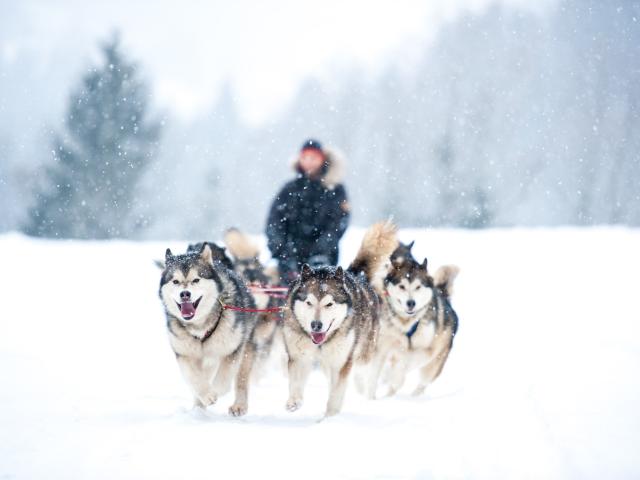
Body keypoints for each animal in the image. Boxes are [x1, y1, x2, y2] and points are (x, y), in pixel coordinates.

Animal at [159, 244, 258, 416]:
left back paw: (239, 405)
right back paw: (198, 408)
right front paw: (206, 396)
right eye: (175, 281)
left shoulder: (232, 350)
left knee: (241, 378)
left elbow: (224, 379)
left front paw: (215, 391)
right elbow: (194, 378)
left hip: (245, 348)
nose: (185, 294)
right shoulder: (184, 354)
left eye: (196, 279)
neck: (200, 326)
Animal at [282, 221, 398, 416]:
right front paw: (294, 401)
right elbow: (296, 382)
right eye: (309, 302)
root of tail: (353, 274)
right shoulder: (299, 356)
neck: (320, 343)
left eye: (329, 304)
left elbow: (336, 394)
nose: (316, 325)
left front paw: (330, 416)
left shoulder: (341, 362)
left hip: (362, 354)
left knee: (363, 373)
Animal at [370, 253, 460, 400]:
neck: (406, 324)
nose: (411, 303)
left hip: (433, 365)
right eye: (402, 286)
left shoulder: (425, 350)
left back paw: (411, 396)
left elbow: (402, 366)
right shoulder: (382, 345)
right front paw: (369, 396)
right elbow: (374, 375)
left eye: (418, 287)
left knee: (421, 384)